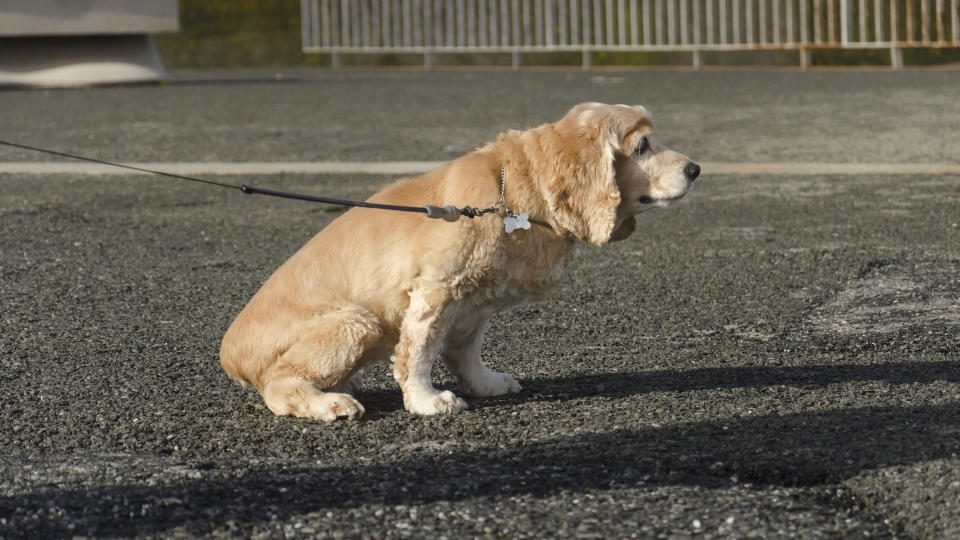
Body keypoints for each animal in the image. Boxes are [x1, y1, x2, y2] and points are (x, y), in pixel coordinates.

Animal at [219, 102, 696, 422]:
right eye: (643, 145)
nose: (695, 168)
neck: (513, 193)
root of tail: (229, 354)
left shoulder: (475, 302)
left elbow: (465, 349)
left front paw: (485, 384)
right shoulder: (435, 289)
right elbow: (418, 353)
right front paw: (428, 402)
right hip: (355, 322)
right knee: (278, 385)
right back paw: (331, 402)